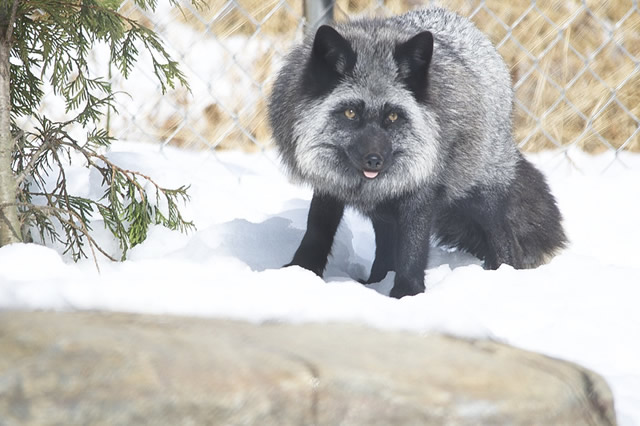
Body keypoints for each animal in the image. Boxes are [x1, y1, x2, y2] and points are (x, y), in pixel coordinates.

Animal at [268, 7, 568, 300]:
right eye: (351, 113)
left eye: (392, 116)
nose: (374, 160)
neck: (363, 186)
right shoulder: (328, 184)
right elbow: (316, 230)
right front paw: (300, 273)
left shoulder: (420, 190)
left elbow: (413, 249)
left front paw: (407, 294)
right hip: (386, 212)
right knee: (385, 248)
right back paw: (376, 282)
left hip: (480, 194)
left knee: (504, 240)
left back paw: (503, 276)